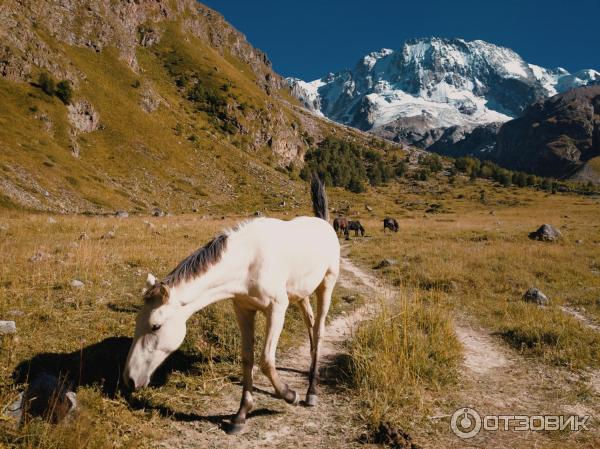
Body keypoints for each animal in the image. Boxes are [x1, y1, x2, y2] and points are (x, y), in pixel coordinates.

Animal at [124, 176, 340, 434]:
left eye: (155, 326)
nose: (129, 379)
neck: (249, 261)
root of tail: (324, 223)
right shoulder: (243, 310)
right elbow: (247, 359)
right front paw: (241, 415)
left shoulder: (276, 310)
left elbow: (266, 361)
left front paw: (289, 395)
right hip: (301, 294)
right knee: (309, 323)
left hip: (326, 284)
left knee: (318, 330)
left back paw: (311, 391)